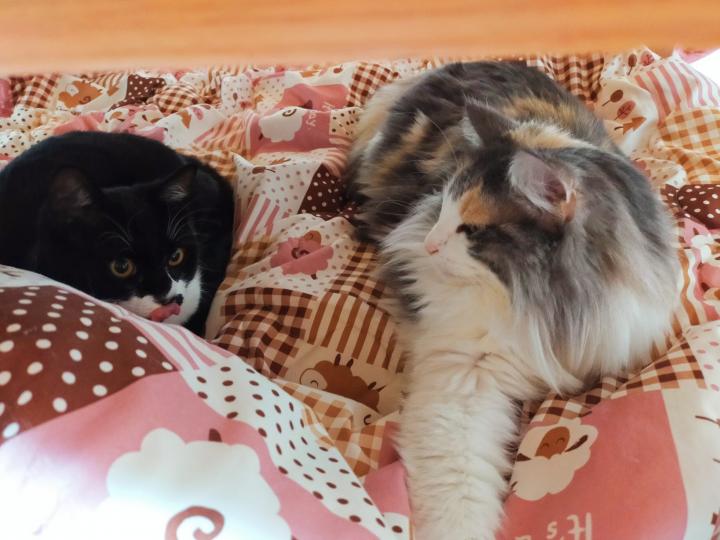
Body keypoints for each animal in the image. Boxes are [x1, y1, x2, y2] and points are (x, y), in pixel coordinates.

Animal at [347, 61, 679, 539]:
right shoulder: (466, 374)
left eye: (471, 230)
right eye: (442, 203)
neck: (553, 305)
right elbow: (458, 489)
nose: (428, 243)